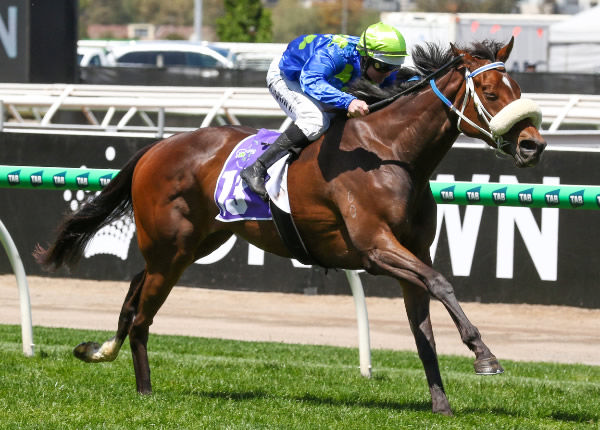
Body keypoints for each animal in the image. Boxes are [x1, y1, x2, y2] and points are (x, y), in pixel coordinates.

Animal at [35, 38, 548, 414]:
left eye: (518, 88)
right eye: (491, 93)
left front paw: (441, 404)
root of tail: (157, 147)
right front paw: (485, 357)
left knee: (135, 292)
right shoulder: (375, 249)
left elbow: (423, 330)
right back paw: (144, 392)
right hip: (171, 248)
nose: (533, 145)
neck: (392, 152)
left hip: (194, 243)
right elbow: (442, 284)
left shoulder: (410, 255)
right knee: (143, 314)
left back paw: (102, 352)